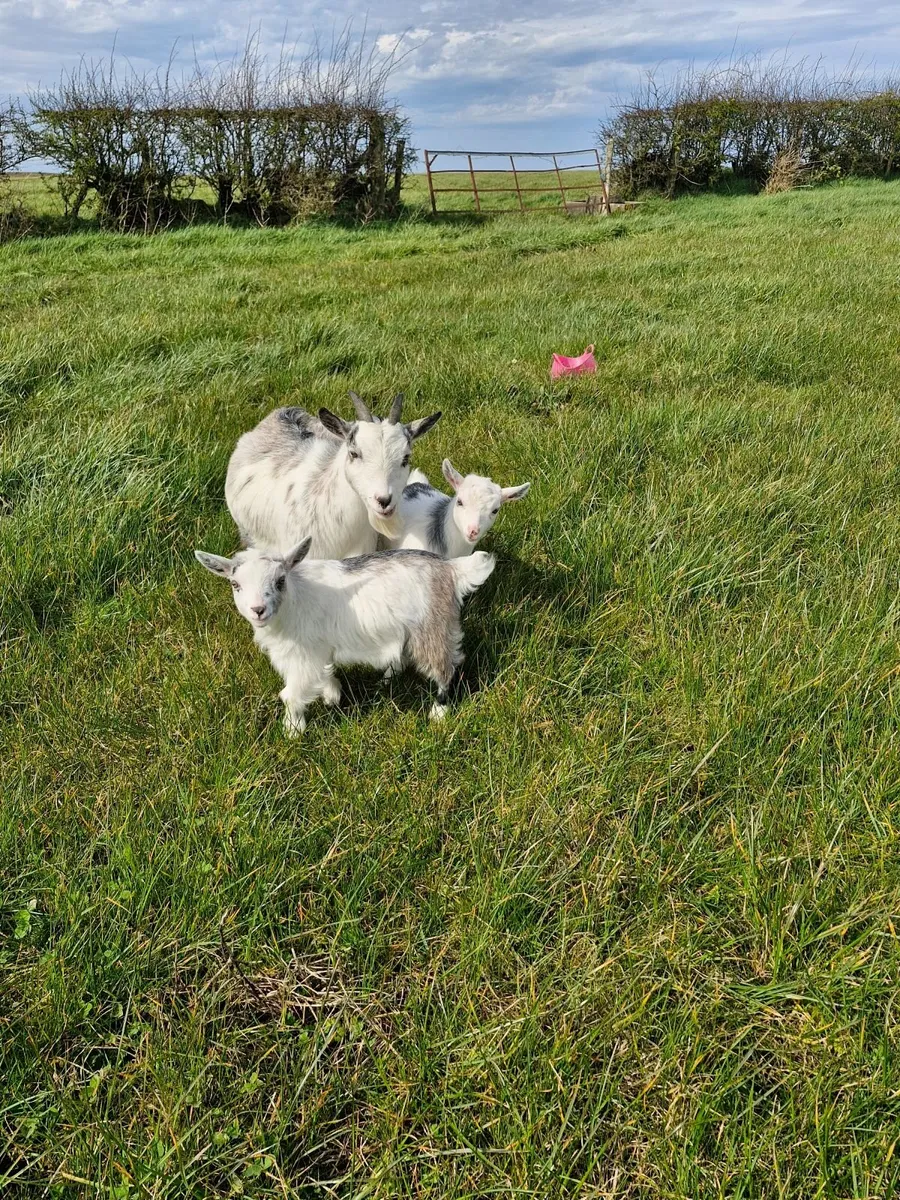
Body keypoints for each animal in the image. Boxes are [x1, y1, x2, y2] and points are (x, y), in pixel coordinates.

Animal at [194, 540, 496, 733]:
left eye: (280, 581)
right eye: (235, 584)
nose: (258, 610)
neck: (295, 599)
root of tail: (452, 570)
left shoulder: (303, 657)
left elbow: (290, 694)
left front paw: (293, 730)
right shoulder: (318, 651)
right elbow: (324, 673)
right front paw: (332, 696)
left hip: (432, 627)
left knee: (446, 667)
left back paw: (438, 713)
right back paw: (386, 680)